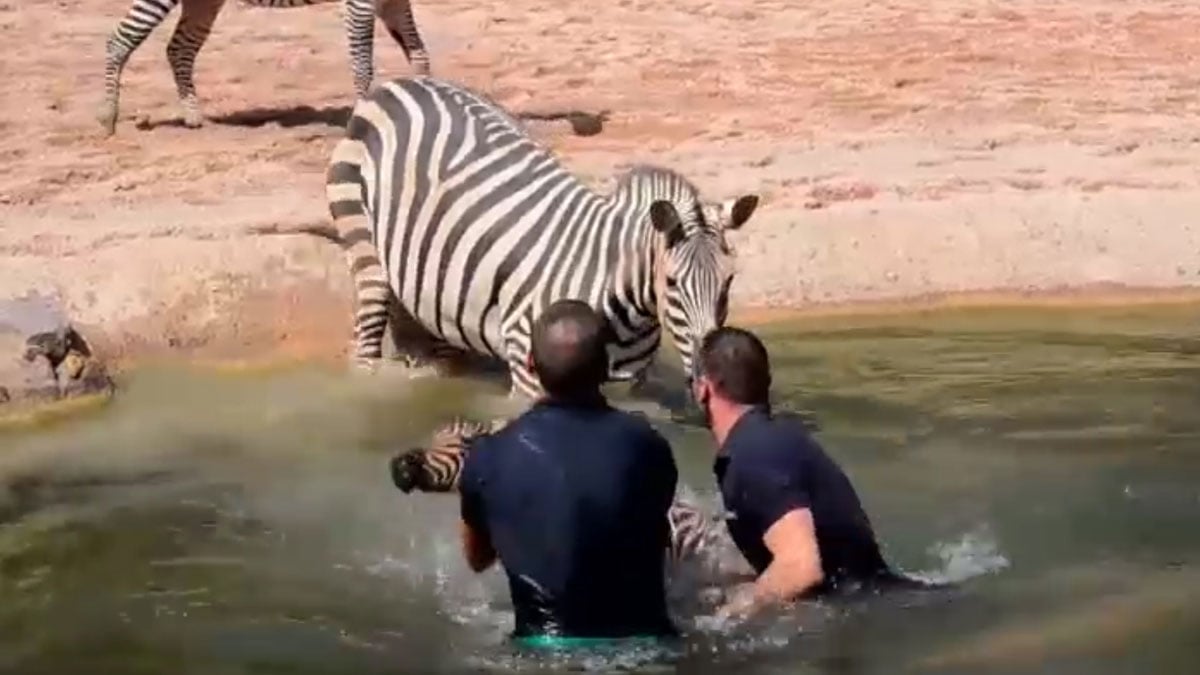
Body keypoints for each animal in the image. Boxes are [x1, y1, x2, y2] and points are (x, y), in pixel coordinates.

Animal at [97, 0, 432, 134]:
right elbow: (363, 65)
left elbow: (419, 54)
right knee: (118, 42)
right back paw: (108, 119)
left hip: (203, 1)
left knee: (179, 48)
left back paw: (193, 117)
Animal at [321, 74, 758, 398]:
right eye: (671, 283)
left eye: (728, 281)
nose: (709, 378)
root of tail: (398, 83)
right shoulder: (529, 367)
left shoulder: (629, 385)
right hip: (361, 237)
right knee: (368, 333)